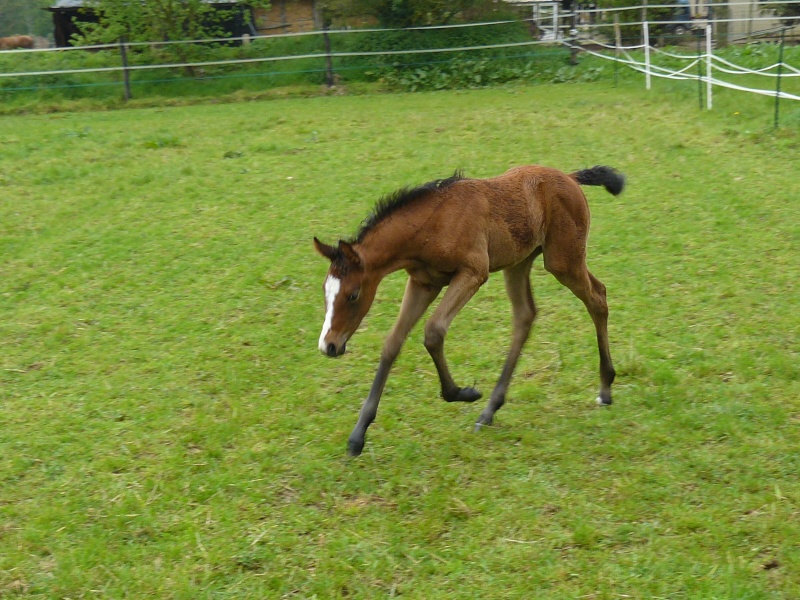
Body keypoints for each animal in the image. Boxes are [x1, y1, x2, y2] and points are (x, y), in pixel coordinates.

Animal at [316, 164, 628, 454]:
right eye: (325, 292)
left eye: (353, 294)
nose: (329, 346)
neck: (432, 223)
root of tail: (570, 177)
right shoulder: (423, 283)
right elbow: (393, 342)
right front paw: (358, 435)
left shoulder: (473, 272)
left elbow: (434, 330)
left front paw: (461, 392)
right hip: (519, 262)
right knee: (525, 316)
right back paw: (489, 411)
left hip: (563, 261)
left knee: (598, 298)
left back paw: (605, 389)